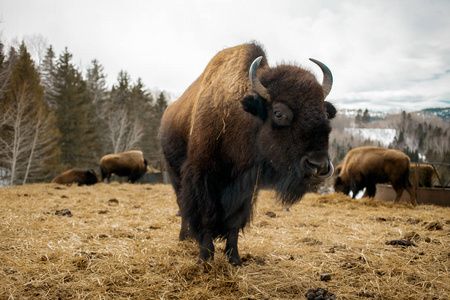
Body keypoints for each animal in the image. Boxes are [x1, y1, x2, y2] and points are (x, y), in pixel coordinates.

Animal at [160, 42, 336, 264]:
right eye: (278, 113)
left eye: (325, 113)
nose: (318, 165)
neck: (239, 117)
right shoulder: (203, 176)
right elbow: (206, 216)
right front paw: (205, 259)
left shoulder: (247, 187)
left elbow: (235, 221)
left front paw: (235, 259)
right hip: (174, 173)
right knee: (182, 205)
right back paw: (184, 237)